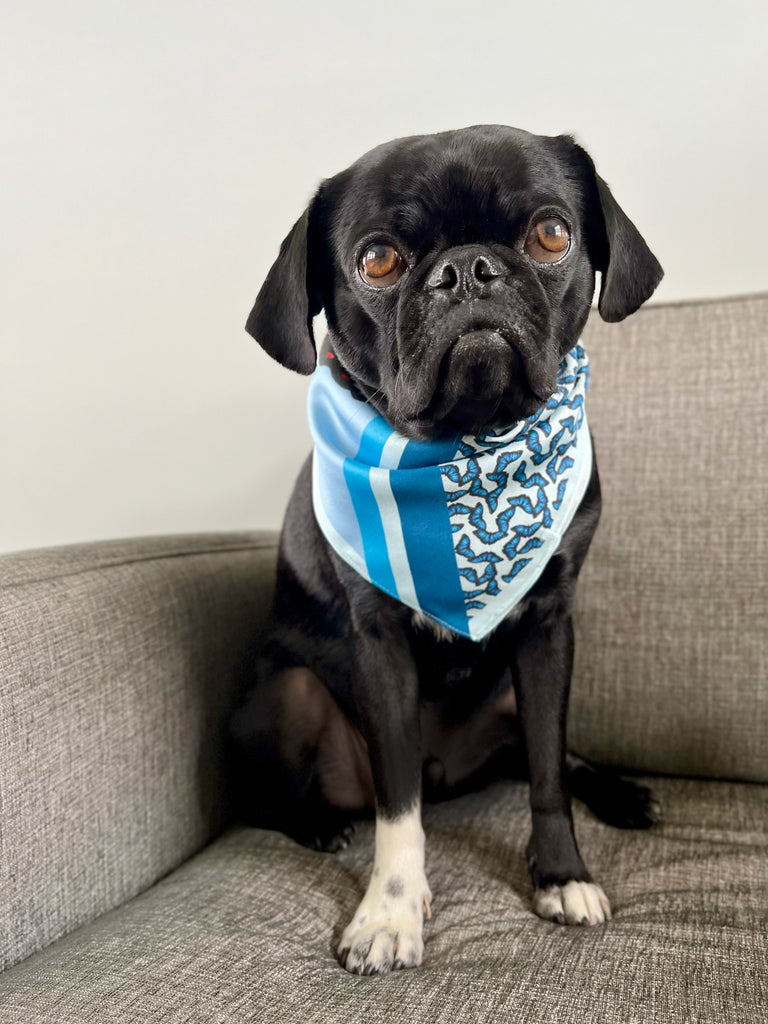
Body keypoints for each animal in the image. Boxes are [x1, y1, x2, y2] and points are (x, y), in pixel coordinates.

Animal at [231, 125, 663, 974]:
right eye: (377, 259)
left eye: (552, 233)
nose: (468, 269)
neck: (470, 446)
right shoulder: (380, 644)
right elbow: (399, 804)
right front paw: (389, 914)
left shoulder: (549, 631)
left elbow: (547, 773)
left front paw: (562, 876)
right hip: (290, 693)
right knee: (278, 798)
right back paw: (318, 825)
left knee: (553, 756)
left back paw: (623, 792)